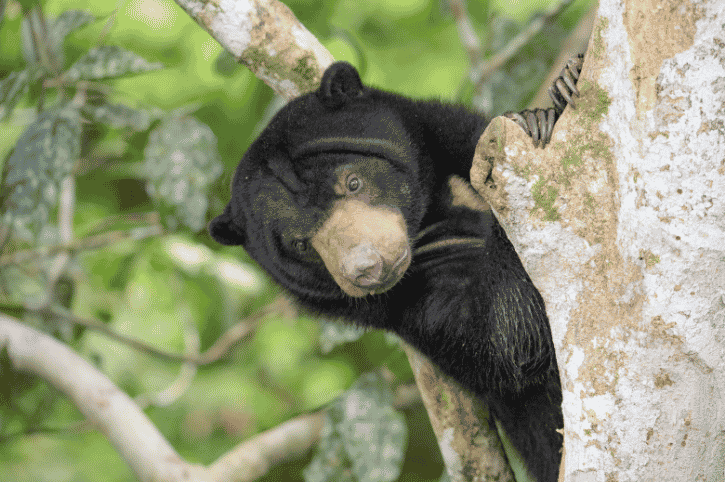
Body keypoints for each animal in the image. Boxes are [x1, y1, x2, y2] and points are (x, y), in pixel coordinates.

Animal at [209, 57, 583, 482]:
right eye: (299, 243)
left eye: (353, 181)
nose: (365, 268)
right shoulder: (405, 308)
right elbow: (508, 336)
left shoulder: (453, 132)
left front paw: (549, 104)